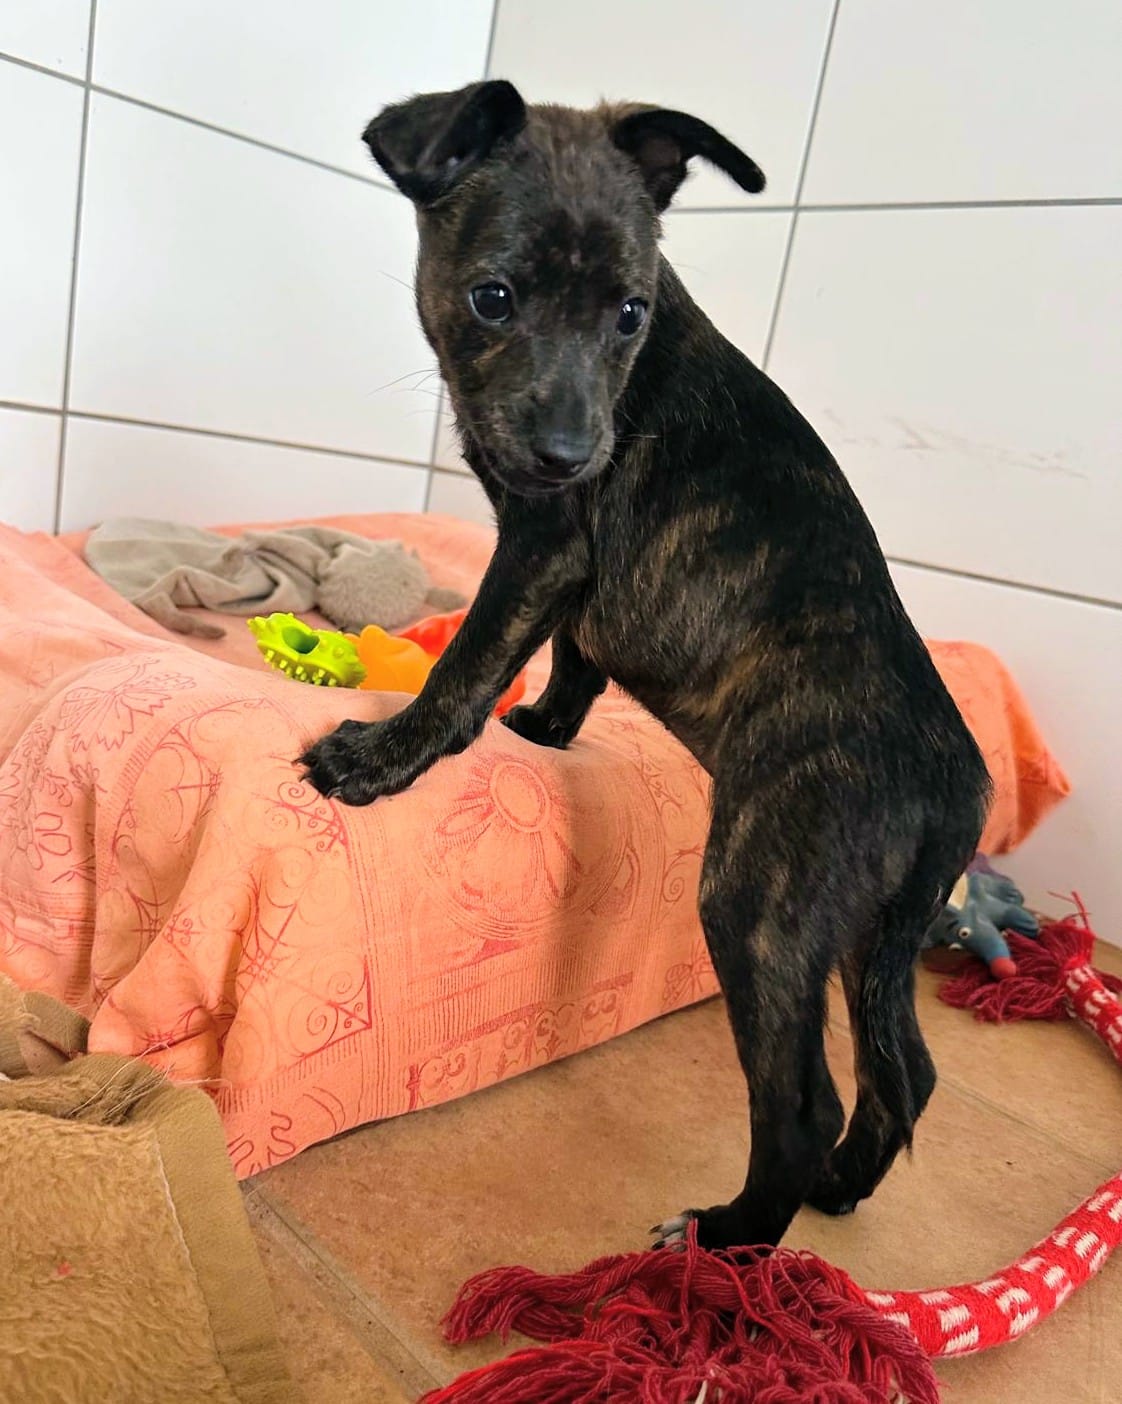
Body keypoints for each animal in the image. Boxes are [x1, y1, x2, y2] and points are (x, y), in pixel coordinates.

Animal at [300, 81, 992, 1250]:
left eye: (631, 314)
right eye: (494, 297)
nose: (577, 452)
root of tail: (955, 783)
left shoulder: (545, 541)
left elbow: (471, 663)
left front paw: (383, 758)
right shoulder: (574, 574)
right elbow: (573, 662)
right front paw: (543, 731)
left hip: (762, 901)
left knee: (803, 1102)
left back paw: (731, 1239)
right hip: (873, 931)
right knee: (908, 1073)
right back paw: (839, 1188)